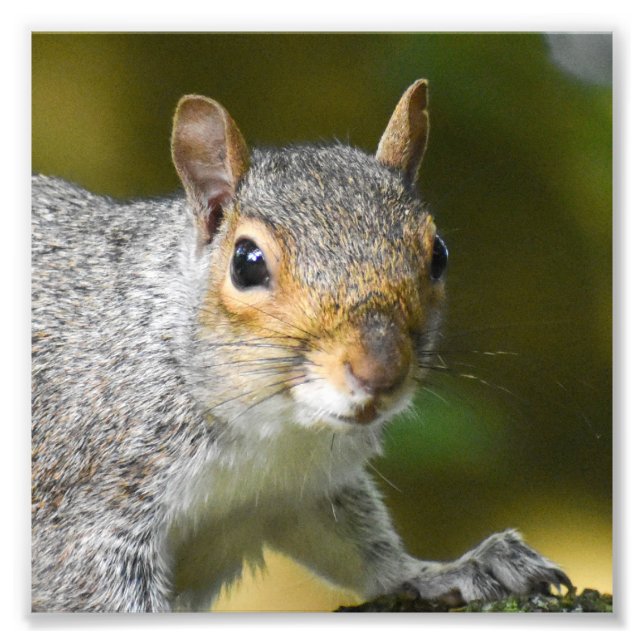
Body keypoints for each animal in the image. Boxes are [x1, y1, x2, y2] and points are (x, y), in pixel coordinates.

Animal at [31, 80, 572, 612]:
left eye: (438, 254)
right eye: (246, 263)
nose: (380, 372)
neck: (274, 434)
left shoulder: (303, 491)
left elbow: (362, 552)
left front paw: (451, 569)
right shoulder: (86, 497)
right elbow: (91, 584)